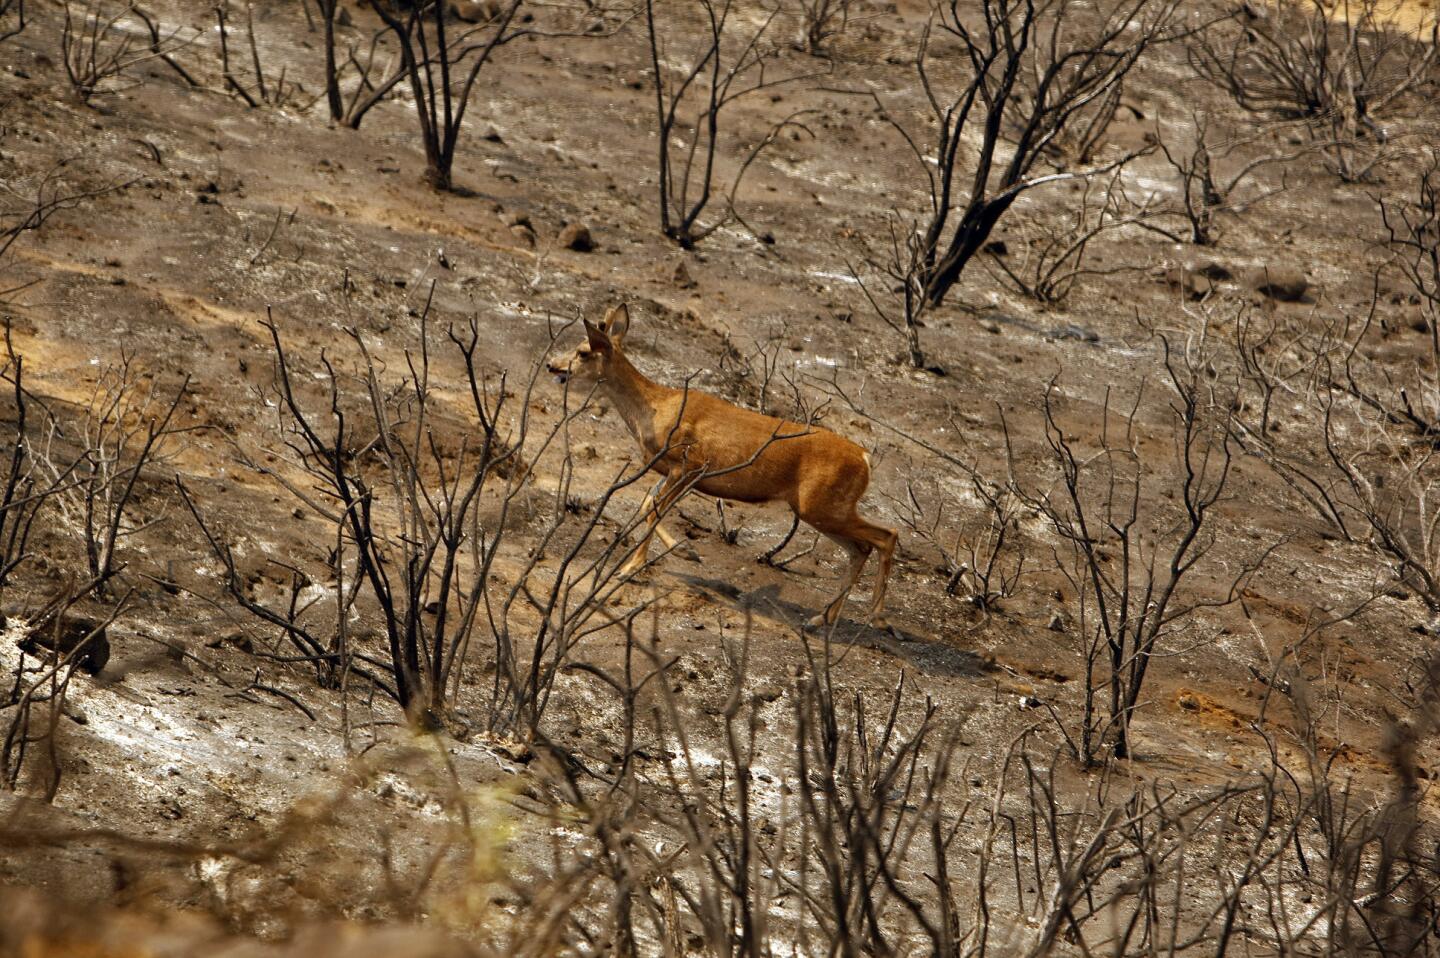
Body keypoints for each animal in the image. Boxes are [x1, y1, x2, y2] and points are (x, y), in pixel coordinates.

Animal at [550, 303, 898, 628]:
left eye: (582, 352)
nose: (552, 364)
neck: (653, 411)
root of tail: (865, 458)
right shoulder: (675, 472)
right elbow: (649, 502)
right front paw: (683, 551)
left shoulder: (688, 464)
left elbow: (653, 508)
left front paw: (631, 567)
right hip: (821, 507)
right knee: (860, 548)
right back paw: (822, 618)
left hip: (821, 504)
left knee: (886, 535)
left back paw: (876, 617)